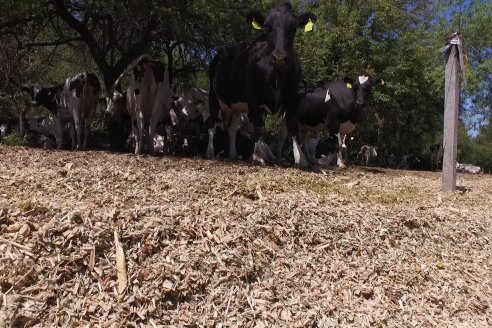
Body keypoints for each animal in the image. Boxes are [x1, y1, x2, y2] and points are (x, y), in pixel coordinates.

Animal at [206, 1, 318, 168]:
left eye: (293, 27)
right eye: (268, 27)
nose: (280, 57)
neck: (276, 73)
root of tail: (223, 50)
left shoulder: (292, 96)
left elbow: (292, 127)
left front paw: (301, 159)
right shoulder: (253, 97)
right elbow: (258, 127)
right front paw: (258, 156)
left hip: (237, 107)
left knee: (232, 129)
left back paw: (233, 154)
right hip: (213, 96)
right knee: (211, 123)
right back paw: (210, 152)